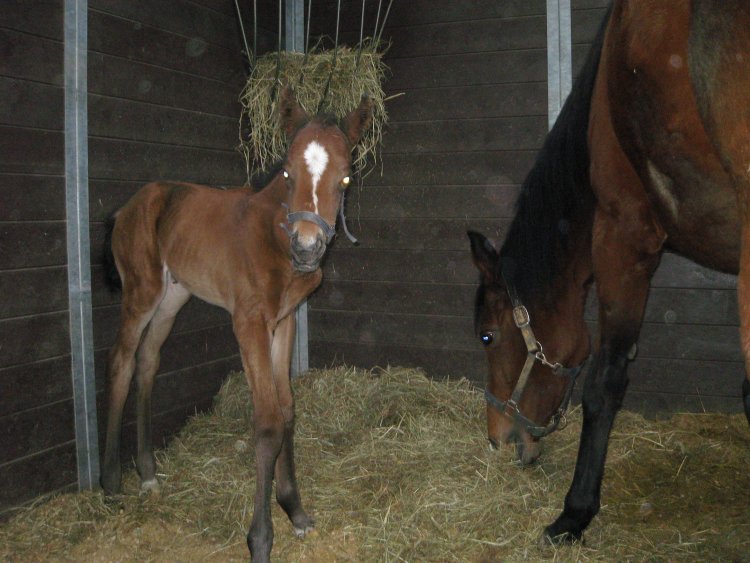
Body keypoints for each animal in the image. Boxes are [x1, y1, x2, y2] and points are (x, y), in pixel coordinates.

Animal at [101, 86, 374, 560]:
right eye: (287, 173)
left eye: (344, 179)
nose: (307, 247)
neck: (277, 240)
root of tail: (128, 207)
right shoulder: (248, 322)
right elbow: (267, 421)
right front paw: (261, 538)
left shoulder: (284, 321)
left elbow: (287, 409)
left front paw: (295, 510)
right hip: (142, 292)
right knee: (121, 360)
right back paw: (111, 481)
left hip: (173, 296)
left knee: (148, 361)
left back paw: (148, 472)